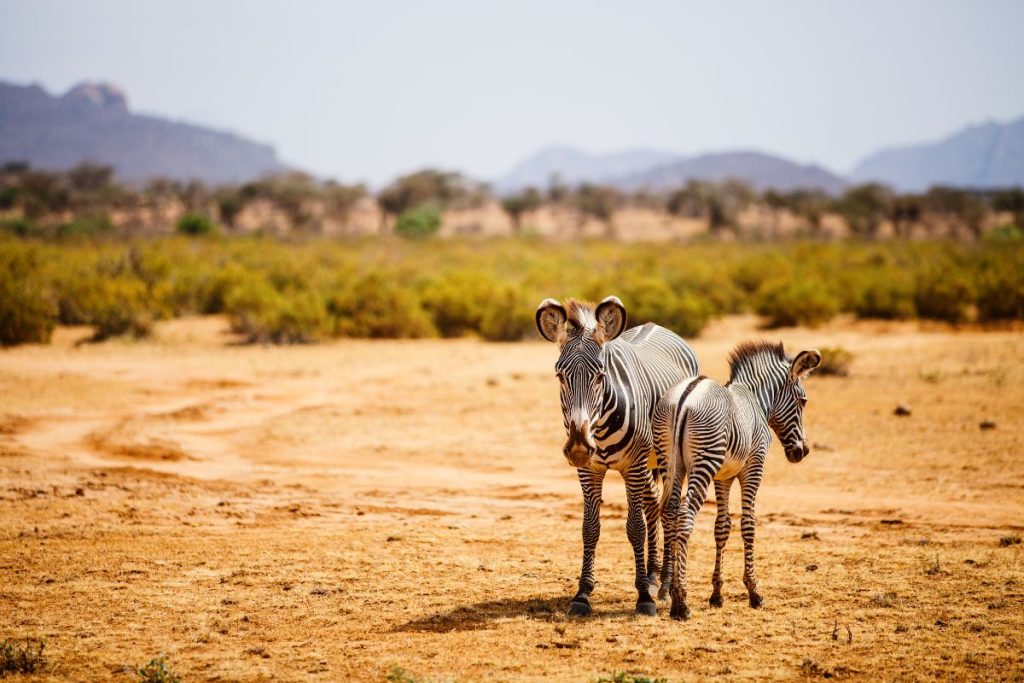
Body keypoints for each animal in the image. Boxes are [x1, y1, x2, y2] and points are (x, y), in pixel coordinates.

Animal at [532, 296, 700, 618]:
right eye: (560, 376)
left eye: (600, 376)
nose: (578, 447)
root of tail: (656, 326)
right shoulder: (589, 471)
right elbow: (590, 529)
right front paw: (582, 594)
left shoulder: (632, 466)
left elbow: (634, 527)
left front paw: (644, 598)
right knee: (653, 505)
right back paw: (652, 574)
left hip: (666, 458)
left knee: (669, 509)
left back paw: (663, 587)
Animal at [655, 339, 823, 618]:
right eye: (803, 401)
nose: (803, 452)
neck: (755, 399)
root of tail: (684, 399)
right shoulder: (753, 467)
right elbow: (748, 525)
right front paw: (754, 592)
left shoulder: (723, 476)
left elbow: (721, 527)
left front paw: (716, 594)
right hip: (704, 462)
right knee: (685, 516)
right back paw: (681, 603)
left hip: (671, 463)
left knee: (670, 513)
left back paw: (670, 593)